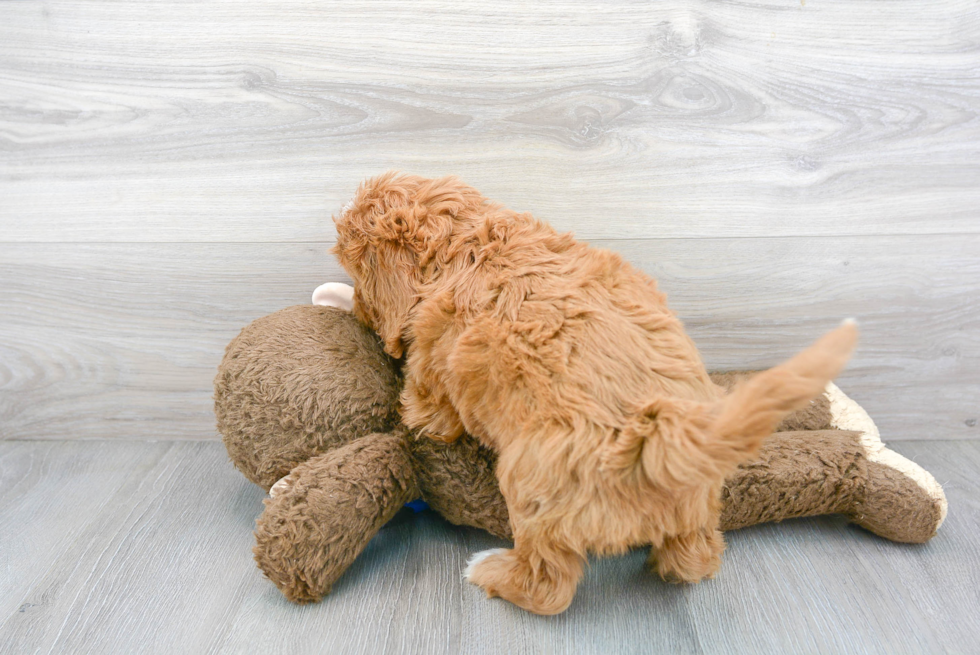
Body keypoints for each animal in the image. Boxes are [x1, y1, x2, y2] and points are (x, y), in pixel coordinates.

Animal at [332, 173, 856, 616]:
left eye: (356, 274)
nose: (355, 308)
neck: (468, 240)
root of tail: (665, 442)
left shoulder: (432, 359)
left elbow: (426, 407)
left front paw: (408, 411)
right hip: (698, 505)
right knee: (698, 557)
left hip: (533, 485)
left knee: (548, 585)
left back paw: (491, 571)